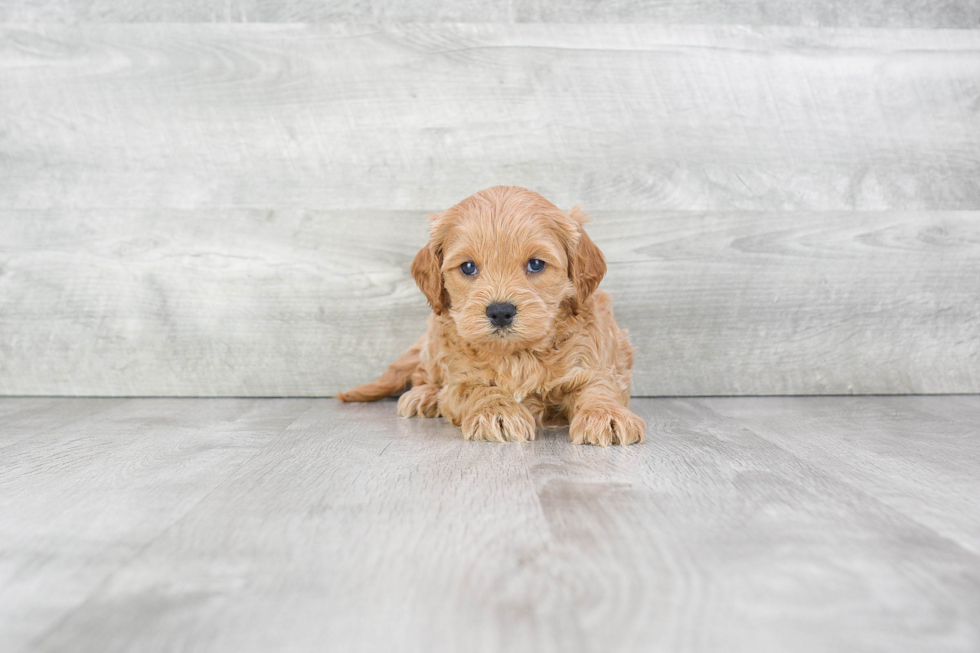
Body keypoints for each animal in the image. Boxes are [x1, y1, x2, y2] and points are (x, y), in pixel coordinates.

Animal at [340, 186, 648, 446]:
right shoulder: (458, 379)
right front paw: (499, 413)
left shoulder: (594, 361)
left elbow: (600, 388)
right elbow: (477, 389)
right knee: (423, 374)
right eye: (467, 267)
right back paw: (422, 395)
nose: (500, 311)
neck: (517, 355)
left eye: (536, 264)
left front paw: (606, 415)